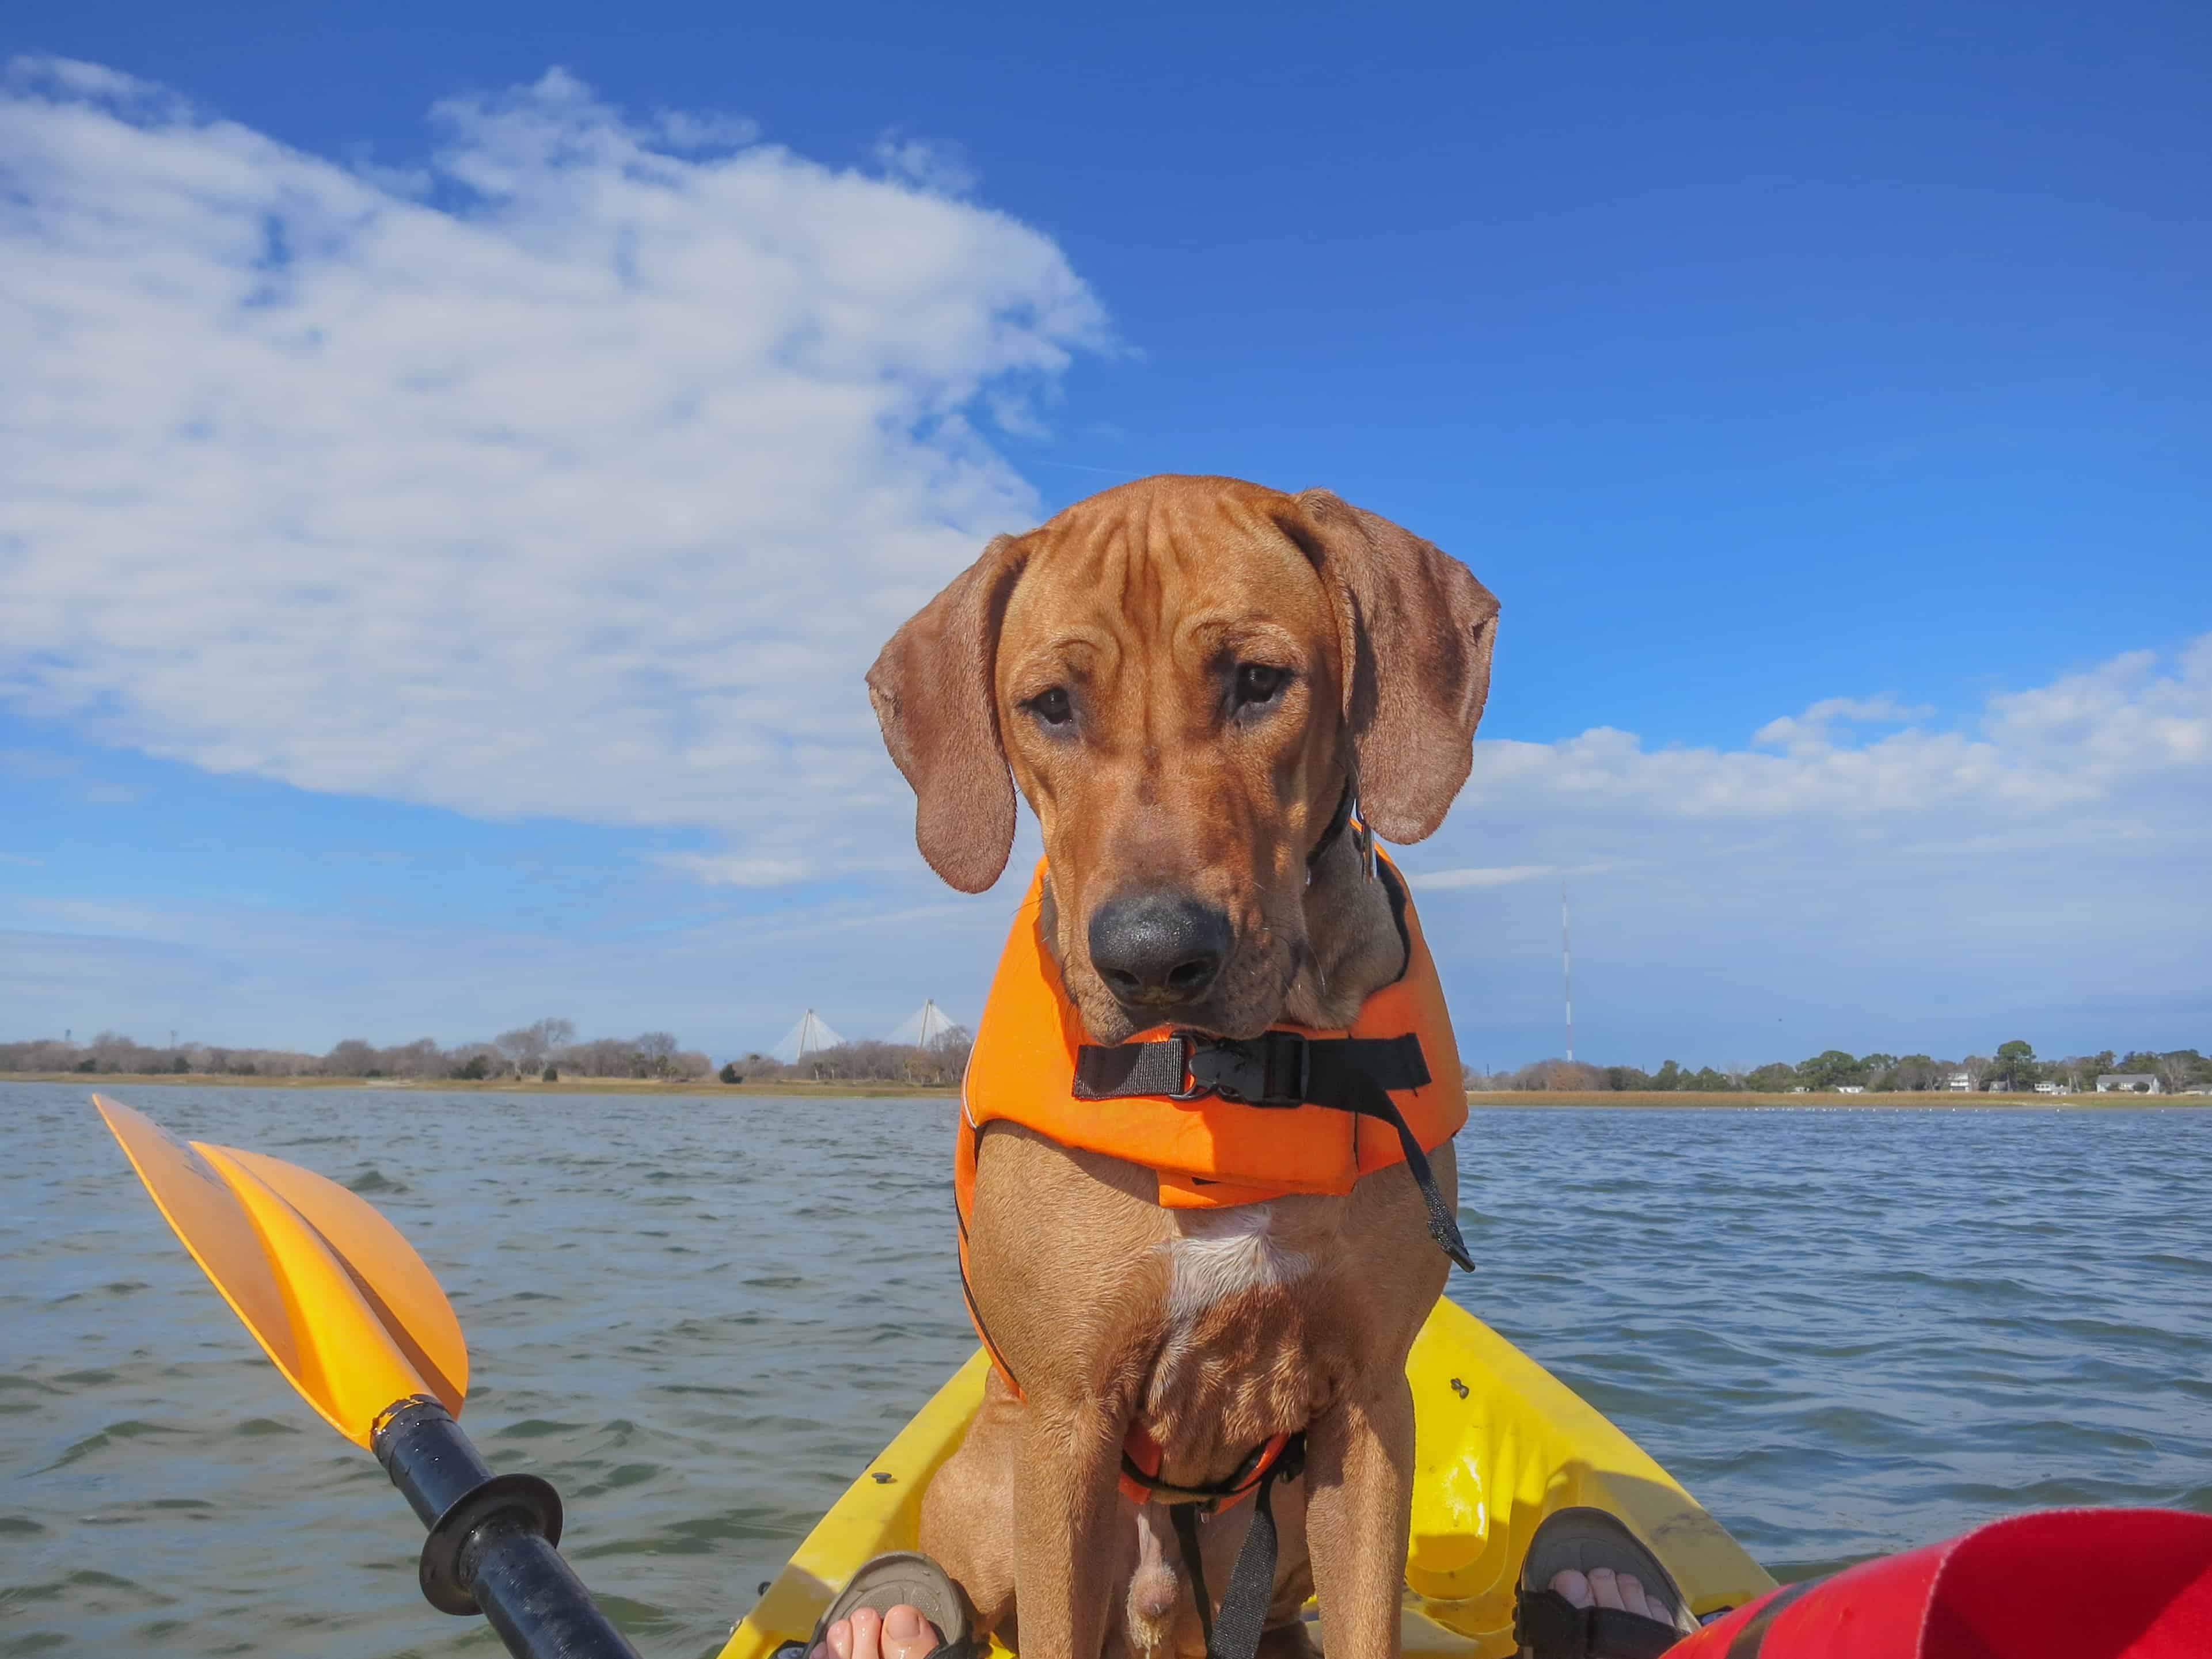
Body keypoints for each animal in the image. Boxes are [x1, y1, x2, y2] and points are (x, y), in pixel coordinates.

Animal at [871, 478, 1495, 1659]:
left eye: (1257, 681)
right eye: (1050, 705)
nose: (1155, 955)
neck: (1228, 1073)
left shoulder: (1370, 1407)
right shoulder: (1067, 1420)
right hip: (992, 1489)